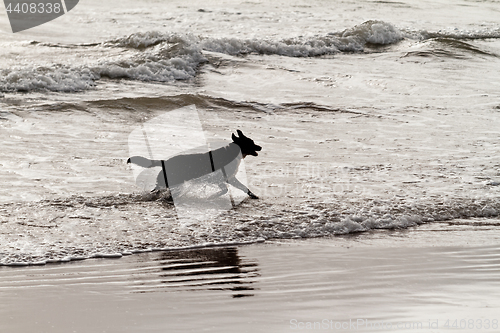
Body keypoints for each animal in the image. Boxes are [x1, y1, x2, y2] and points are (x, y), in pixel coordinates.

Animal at [128, 129, 262, 197]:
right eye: (251, 142)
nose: (260, 147)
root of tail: (165, 161)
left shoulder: (231, 178)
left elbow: (244, 187)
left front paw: (253, 195)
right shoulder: (220, 179)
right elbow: (224, 190)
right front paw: (213, 196)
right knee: (156, 190)